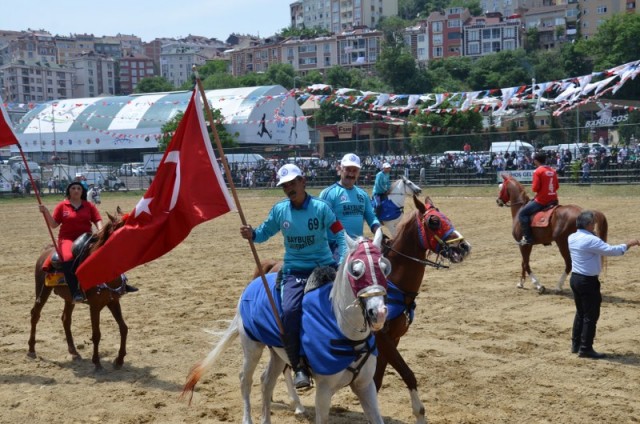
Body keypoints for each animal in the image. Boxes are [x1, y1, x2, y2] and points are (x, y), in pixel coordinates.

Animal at [28, 209, 130, 372]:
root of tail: (46, 251)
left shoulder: (113, 301)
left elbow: (123, 328)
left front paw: (119, 360)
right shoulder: (95, 306)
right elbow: (96, 334)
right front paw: (97, 363)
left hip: (69, 298)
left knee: (65, 319)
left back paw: (74, 352)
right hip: (42, 290)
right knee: (35, 314)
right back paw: (31, 349)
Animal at [181, 230, 390, 422]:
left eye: (384, 268)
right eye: (356, 271)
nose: (378, 312)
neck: (343, 331)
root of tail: (251, 286)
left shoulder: (365, 386)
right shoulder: (323, 391)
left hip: (279, 354)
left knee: (266, 382)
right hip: (252, 348)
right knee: (245, 380)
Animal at [255, 196, 470, 424]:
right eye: (434, 221)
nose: (464, 246)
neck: (395, 284)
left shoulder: (391, 340)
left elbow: (377, 380)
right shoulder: (383, 339)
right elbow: (406, 373)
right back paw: (296, 405)